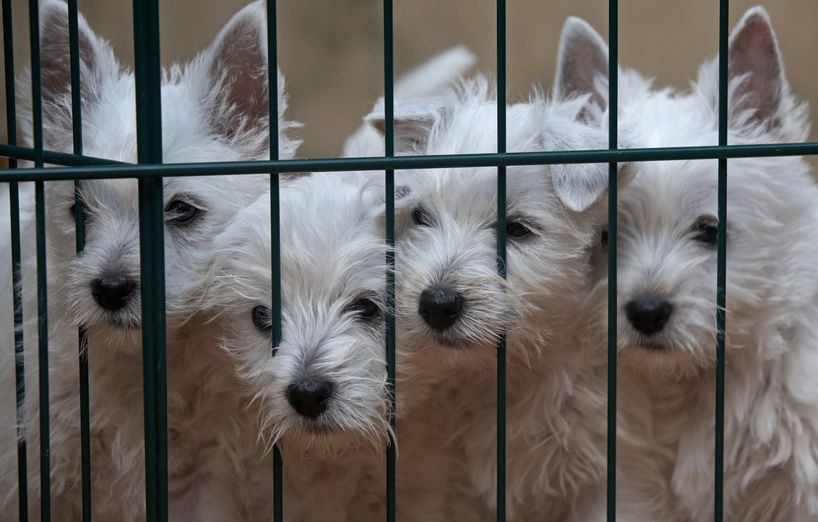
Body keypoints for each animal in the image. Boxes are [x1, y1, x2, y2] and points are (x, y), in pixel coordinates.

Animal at [0, 2, 300, 516]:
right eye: (78, 211)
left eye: (182, 209)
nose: (110, 289)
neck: (145, 361)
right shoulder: (40, 470)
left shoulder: (204, 474)